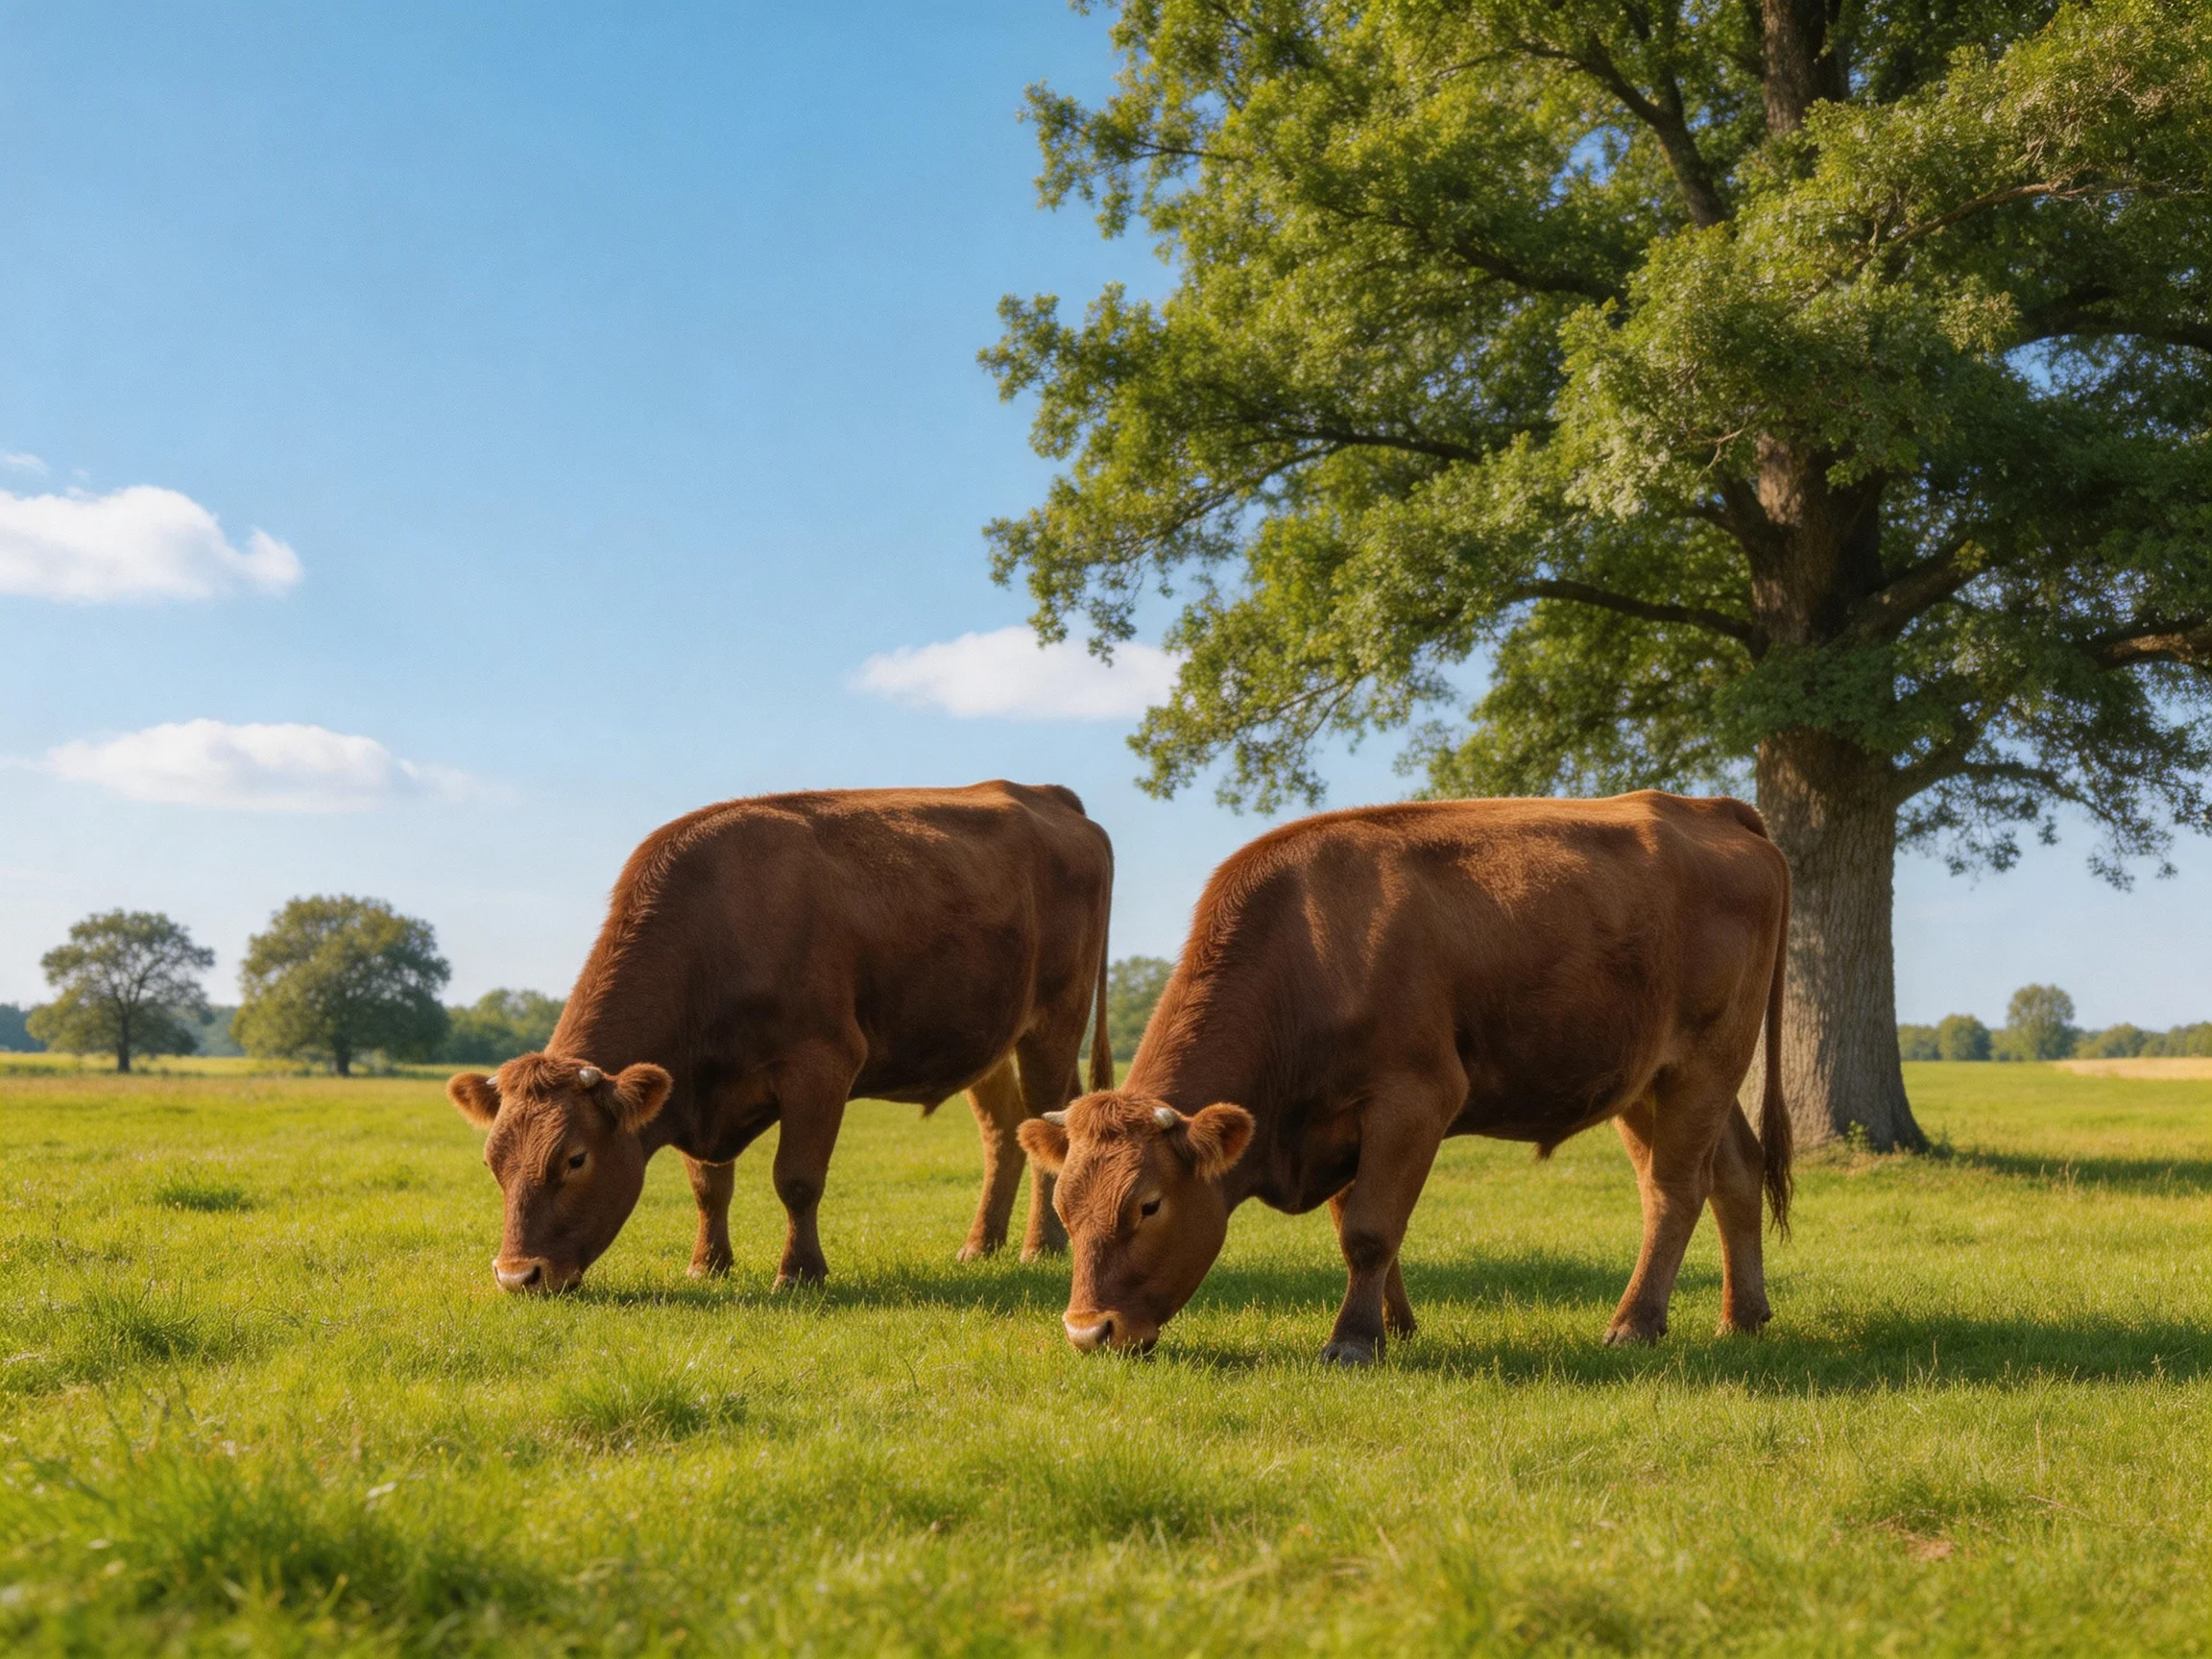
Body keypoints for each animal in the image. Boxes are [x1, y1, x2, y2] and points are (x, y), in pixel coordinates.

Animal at [449, 781, 1114, 1294]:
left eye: (575, 1158)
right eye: (491, 1161)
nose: (517, 1275)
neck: (718, 928)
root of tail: (1045, 793)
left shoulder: (822, 1065)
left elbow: (796, 1179)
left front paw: (799, 1273)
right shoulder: (693, 1082)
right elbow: (708, 1185)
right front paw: (707, 1265)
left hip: (1054, 1024)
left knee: (1044, 1120)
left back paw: (1040, 1246)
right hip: (986, 1041)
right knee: (1005, 1133)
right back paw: (981, 1245)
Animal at [1018, 791, 1791, 1364]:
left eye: (1148, 1205)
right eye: (1063, 1209)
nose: (1088, 1330)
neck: (1311, 948)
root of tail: (1708, 807)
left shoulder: (1414, 1099)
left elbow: (1368, 1229)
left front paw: (1354, 1342)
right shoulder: (1341, 1126)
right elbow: (1354, 1222)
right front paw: (1396, 1325)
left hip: (1706, 1061)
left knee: (1673, 1189)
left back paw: (1636, 1323)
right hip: (1648, 1078)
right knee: (1735, 1171)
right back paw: (1743, 1316)